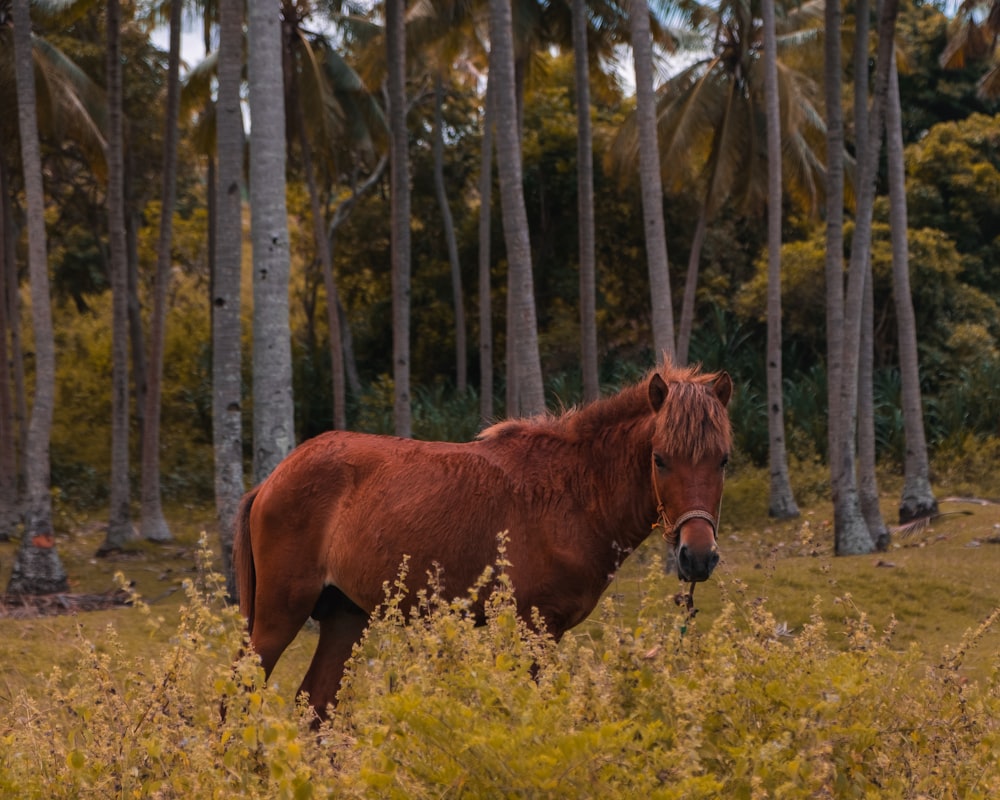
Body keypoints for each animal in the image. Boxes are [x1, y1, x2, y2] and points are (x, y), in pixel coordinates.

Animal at [234, 362, 736, 720]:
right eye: (660, 459)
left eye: (723, 460)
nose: (697, 557)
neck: (570, 493)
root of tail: (273, 479)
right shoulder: (533, 629)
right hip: (280, 614)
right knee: (241, 692)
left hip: (344, 616)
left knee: (315, 706)